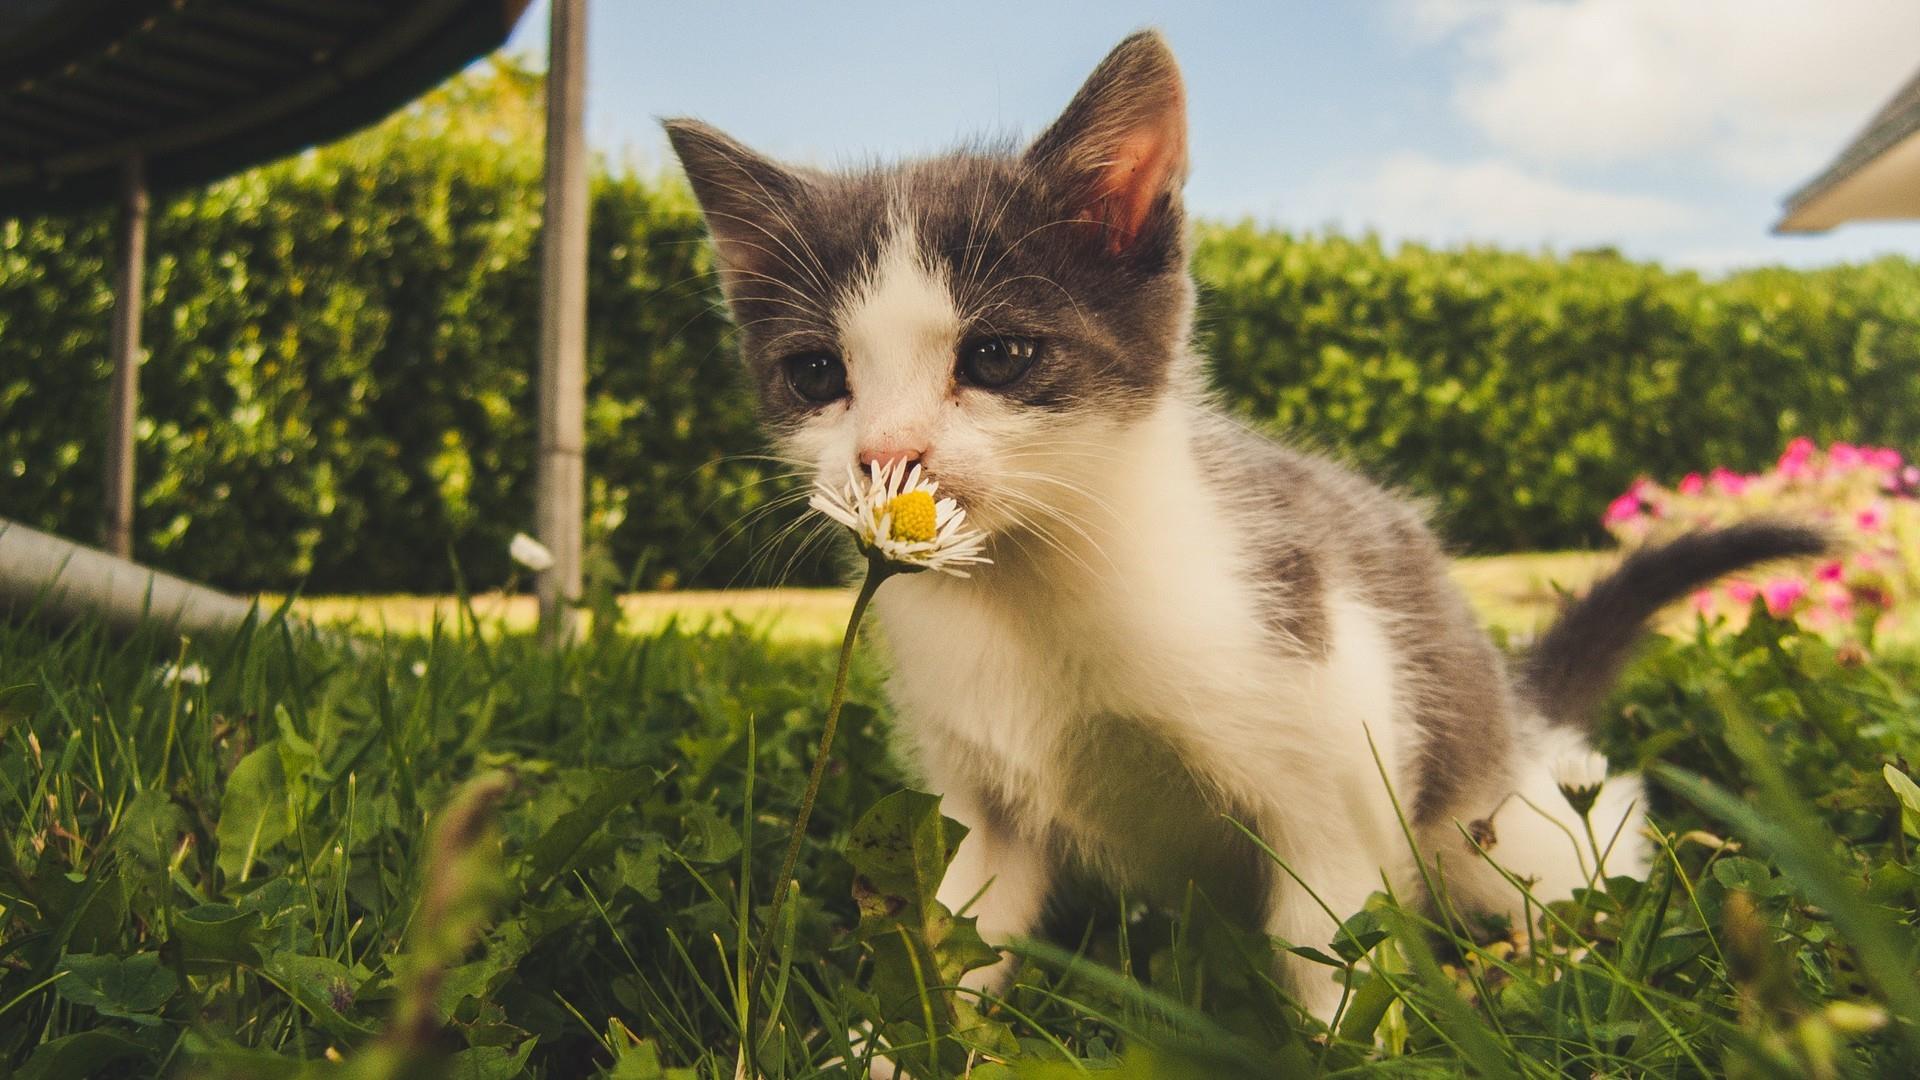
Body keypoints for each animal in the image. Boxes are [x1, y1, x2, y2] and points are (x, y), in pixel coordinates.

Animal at [668, 27, 1820, 1014]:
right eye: (818, 375)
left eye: (997, 356)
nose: (885, 456)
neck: (1031, 590)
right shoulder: (980, 808)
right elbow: (953, 941)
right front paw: (881, 1050)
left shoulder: (1333, 760)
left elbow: (1332, 955)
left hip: (1493, 815)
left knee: (1585, 839)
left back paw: (1549, 960)